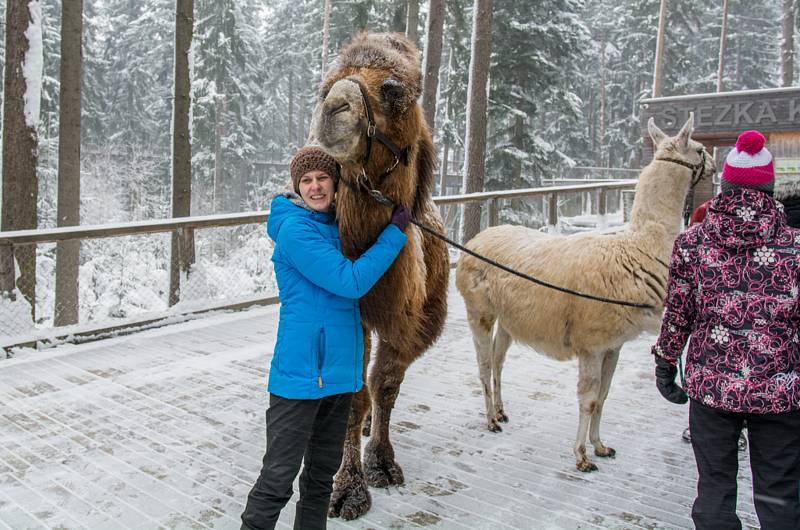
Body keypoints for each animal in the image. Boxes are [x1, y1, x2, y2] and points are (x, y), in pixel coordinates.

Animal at [310, 32, 450, 516]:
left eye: (394, 90)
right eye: (324, 86)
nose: (334, 106)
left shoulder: (414, 322)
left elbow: (385, 383)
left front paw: (381, 464)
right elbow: (351, 397)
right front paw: (346, 488)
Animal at [454, 114, 716, 470]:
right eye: (701, 148)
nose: (715, 165)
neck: (638, 249)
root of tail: (475, 241)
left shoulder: (613, 344)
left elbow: (604, 396)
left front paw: (601, 446)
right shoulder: (590, 342)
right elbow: (589, 399)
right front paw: (581, 456)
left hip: (508, 319)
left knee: (497, 360)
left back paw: (501, 411)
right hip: (479, 309)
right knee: (483, 363)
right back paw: (491, 420)